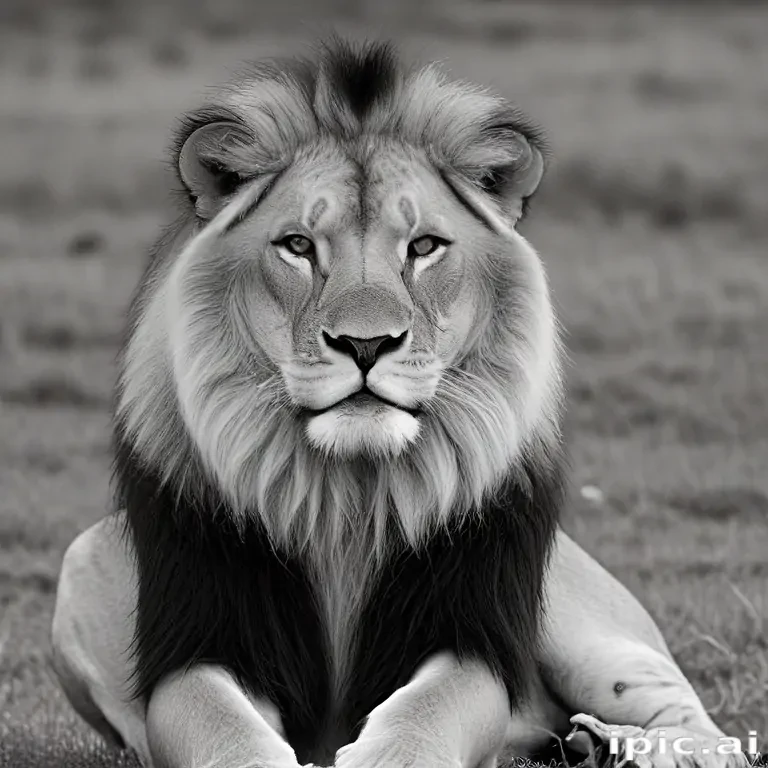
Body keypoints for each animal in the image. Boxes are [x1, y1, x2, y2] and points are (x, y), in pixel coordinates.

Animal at [50, 39, 749, 768]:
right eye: (298, 246)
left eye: (423, 247)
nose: (366, 344)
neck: (345, 501)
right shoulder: (203, 632)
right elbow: (224, 728)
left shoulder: (465, 624)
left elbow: (426, 713)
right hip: (83, 560)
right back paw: (587, 743)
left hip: (588, 634)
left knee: (697, 722)